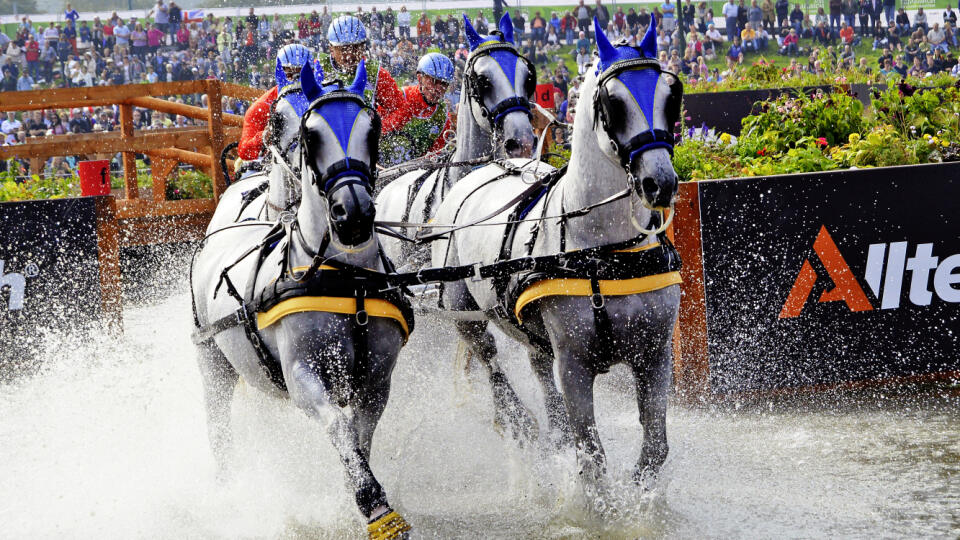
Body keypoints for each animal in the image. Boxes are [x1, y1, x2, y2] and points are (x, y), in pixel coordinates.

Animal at [191, 61, 412, 536]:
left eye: (373, 128)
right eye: (313, 135)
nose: (354, 214)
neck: (347, 279)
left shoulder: (376, 380)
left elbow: (359, 438)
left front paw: (359, 496)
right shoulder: (303, 376)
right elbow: (338, 428)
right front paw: (376, 509)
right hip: (212, 361)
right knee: (218, 425)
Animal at [428, 17, 684, 506]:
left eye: (670, 94)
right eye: (613, 103)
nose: (659, 183)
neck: (604, 254)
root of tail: (485, 168)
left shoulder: (655, 354)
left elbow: (656, 449)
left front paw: (639, 501)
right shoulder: (575, 365)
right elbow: (592, 456)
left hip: (535, 339)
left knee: (539, 376)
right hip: (463, 312)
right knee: (490, 361)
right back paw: (517, 422)